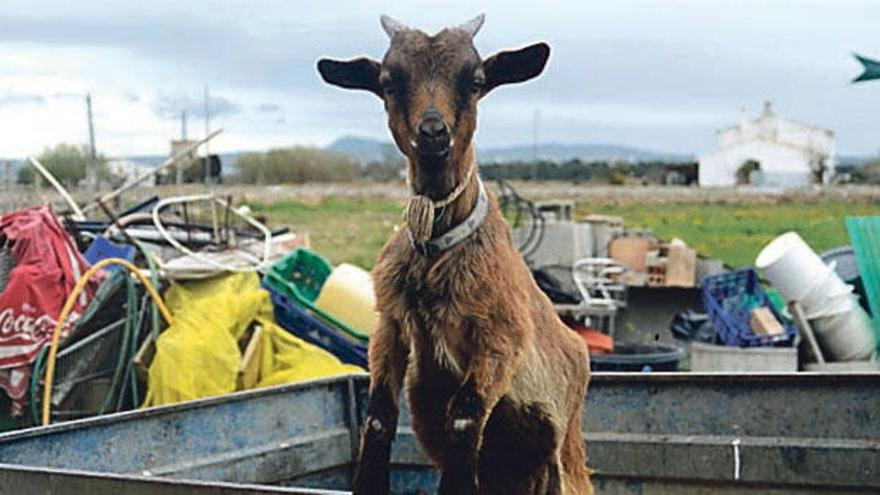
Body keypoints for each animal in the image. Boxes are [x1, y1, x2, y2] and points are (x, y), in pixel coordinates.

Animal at [316, 13, 592, 494]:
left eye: (476, 80)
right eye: (388, 81)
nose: (432, 132)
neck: (436, 251)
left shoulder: (500, 337)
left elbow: (463, 419)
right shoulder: (390, 325)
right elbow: (378, 416)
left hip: (565, 455)